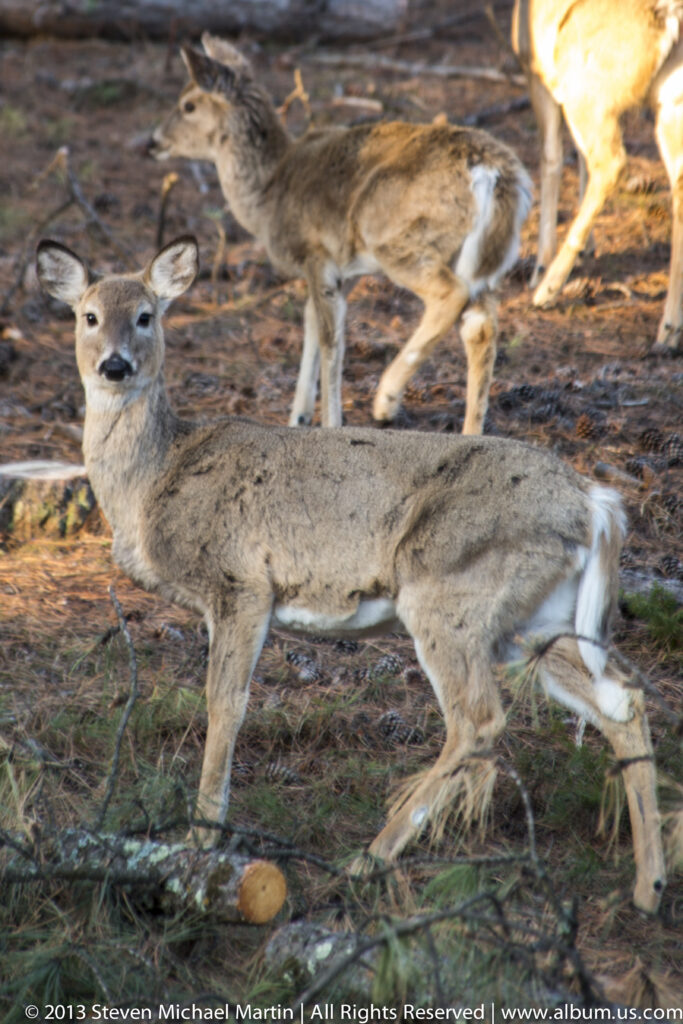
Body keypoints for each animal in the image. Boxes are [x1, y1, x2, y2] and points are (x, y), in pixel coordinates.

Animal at [35, 235, 666, 914]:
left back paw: (369, 858)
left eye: (147, 315)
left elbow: (224, 704)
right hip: (534, 621)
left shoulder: (240, 584)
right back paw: (649, 885)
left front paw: (201, 837)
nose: (115, 366)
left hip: (449, 591)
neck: (153, 484)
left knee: (479, 719)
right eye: (88, 316)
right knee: (622, 699)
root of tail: (594, 502)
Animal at [149, 33, 532, 434]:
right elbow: (310, 326)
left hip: (397, 237)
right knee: (481, 328)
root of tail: (492, 172)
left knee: (449, 295)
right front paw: (298, 417)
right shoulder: (339, 271)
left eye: (188, 104)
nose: (152, 141)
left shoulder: (318, 252)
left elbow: (330, 339)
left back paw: (385, 401)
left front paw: (330, 423)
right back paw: (472, 432)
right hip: (490, 260)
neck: (268, 194)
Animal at [512, 0, 683, 350]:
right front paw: (589, 249)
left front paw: (541, 264)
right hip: (669, 102)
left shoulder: (537, 71)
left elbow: (550, 156)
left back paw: (547, 289)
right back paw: (669, 331)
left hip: (587, 88)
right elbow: (577, 158)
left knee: (611, 163)